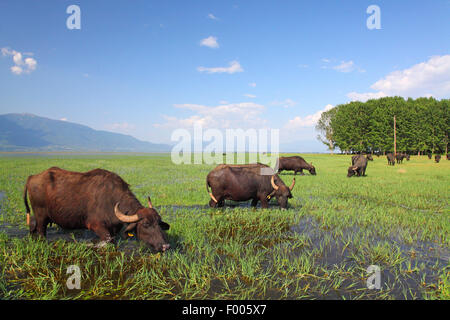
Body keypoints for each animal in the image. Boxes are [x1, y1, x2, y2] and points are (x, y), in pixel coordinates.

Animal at [23, 166, 171, 251]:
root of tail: (32, 177)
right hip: (41, 217)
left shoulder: (113, 229)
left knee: (33, 228)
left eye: (159, 223)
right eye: (145, 224)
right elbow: (107, 241)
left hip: (39, 217)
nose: (166, 246)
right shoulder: (96, 226)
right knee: (41, 233)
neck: (111, 200)